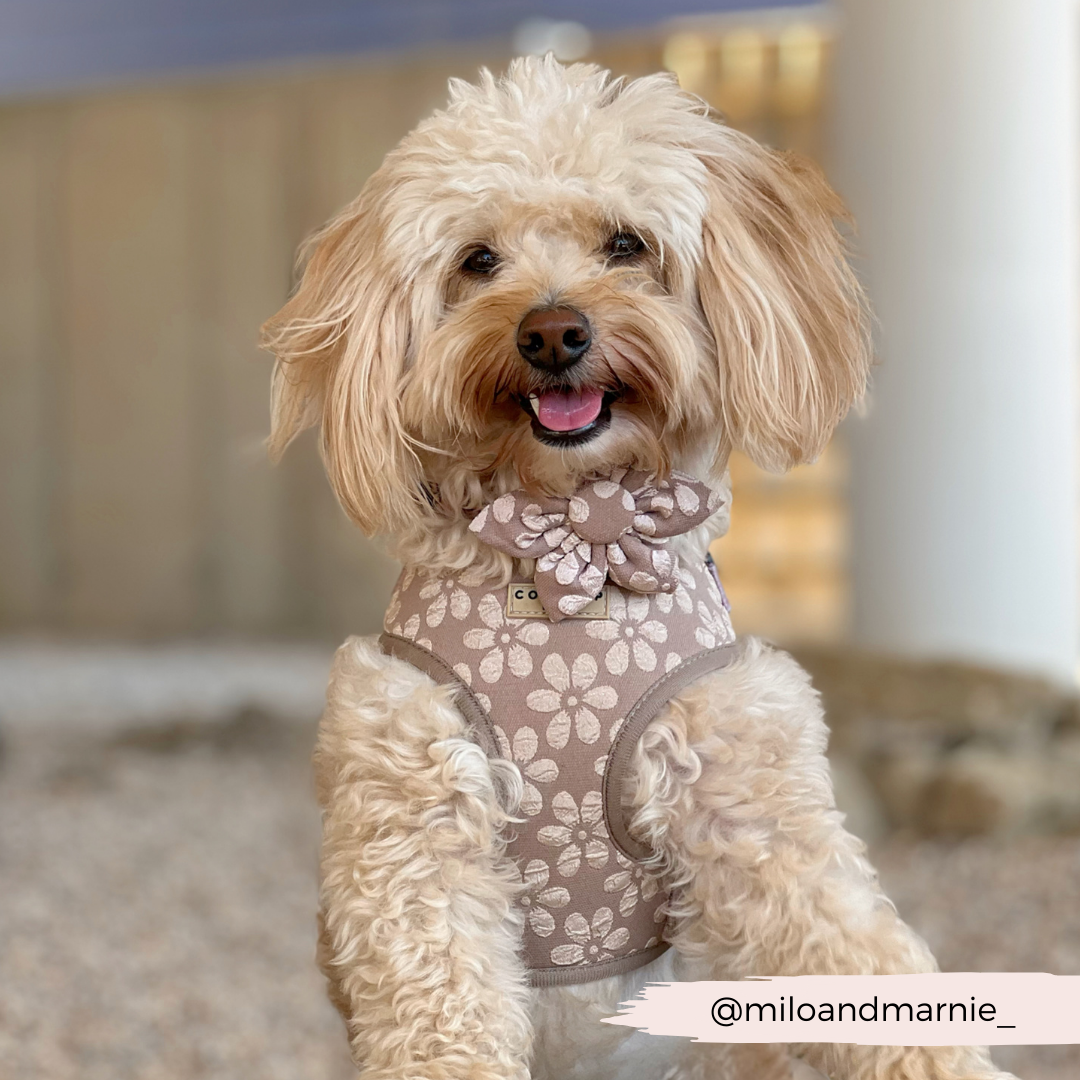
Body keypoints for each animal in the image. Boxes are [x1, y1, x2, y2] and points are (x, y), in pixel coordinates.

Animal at [261, 56, 1010, 1080]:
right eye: (478, 261)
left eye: (626, 243)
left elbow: (864, 963)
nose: (551, 332)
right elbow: (442, 1012)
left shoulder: (751, 816)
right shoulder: (416, 836)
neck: (578, 536)